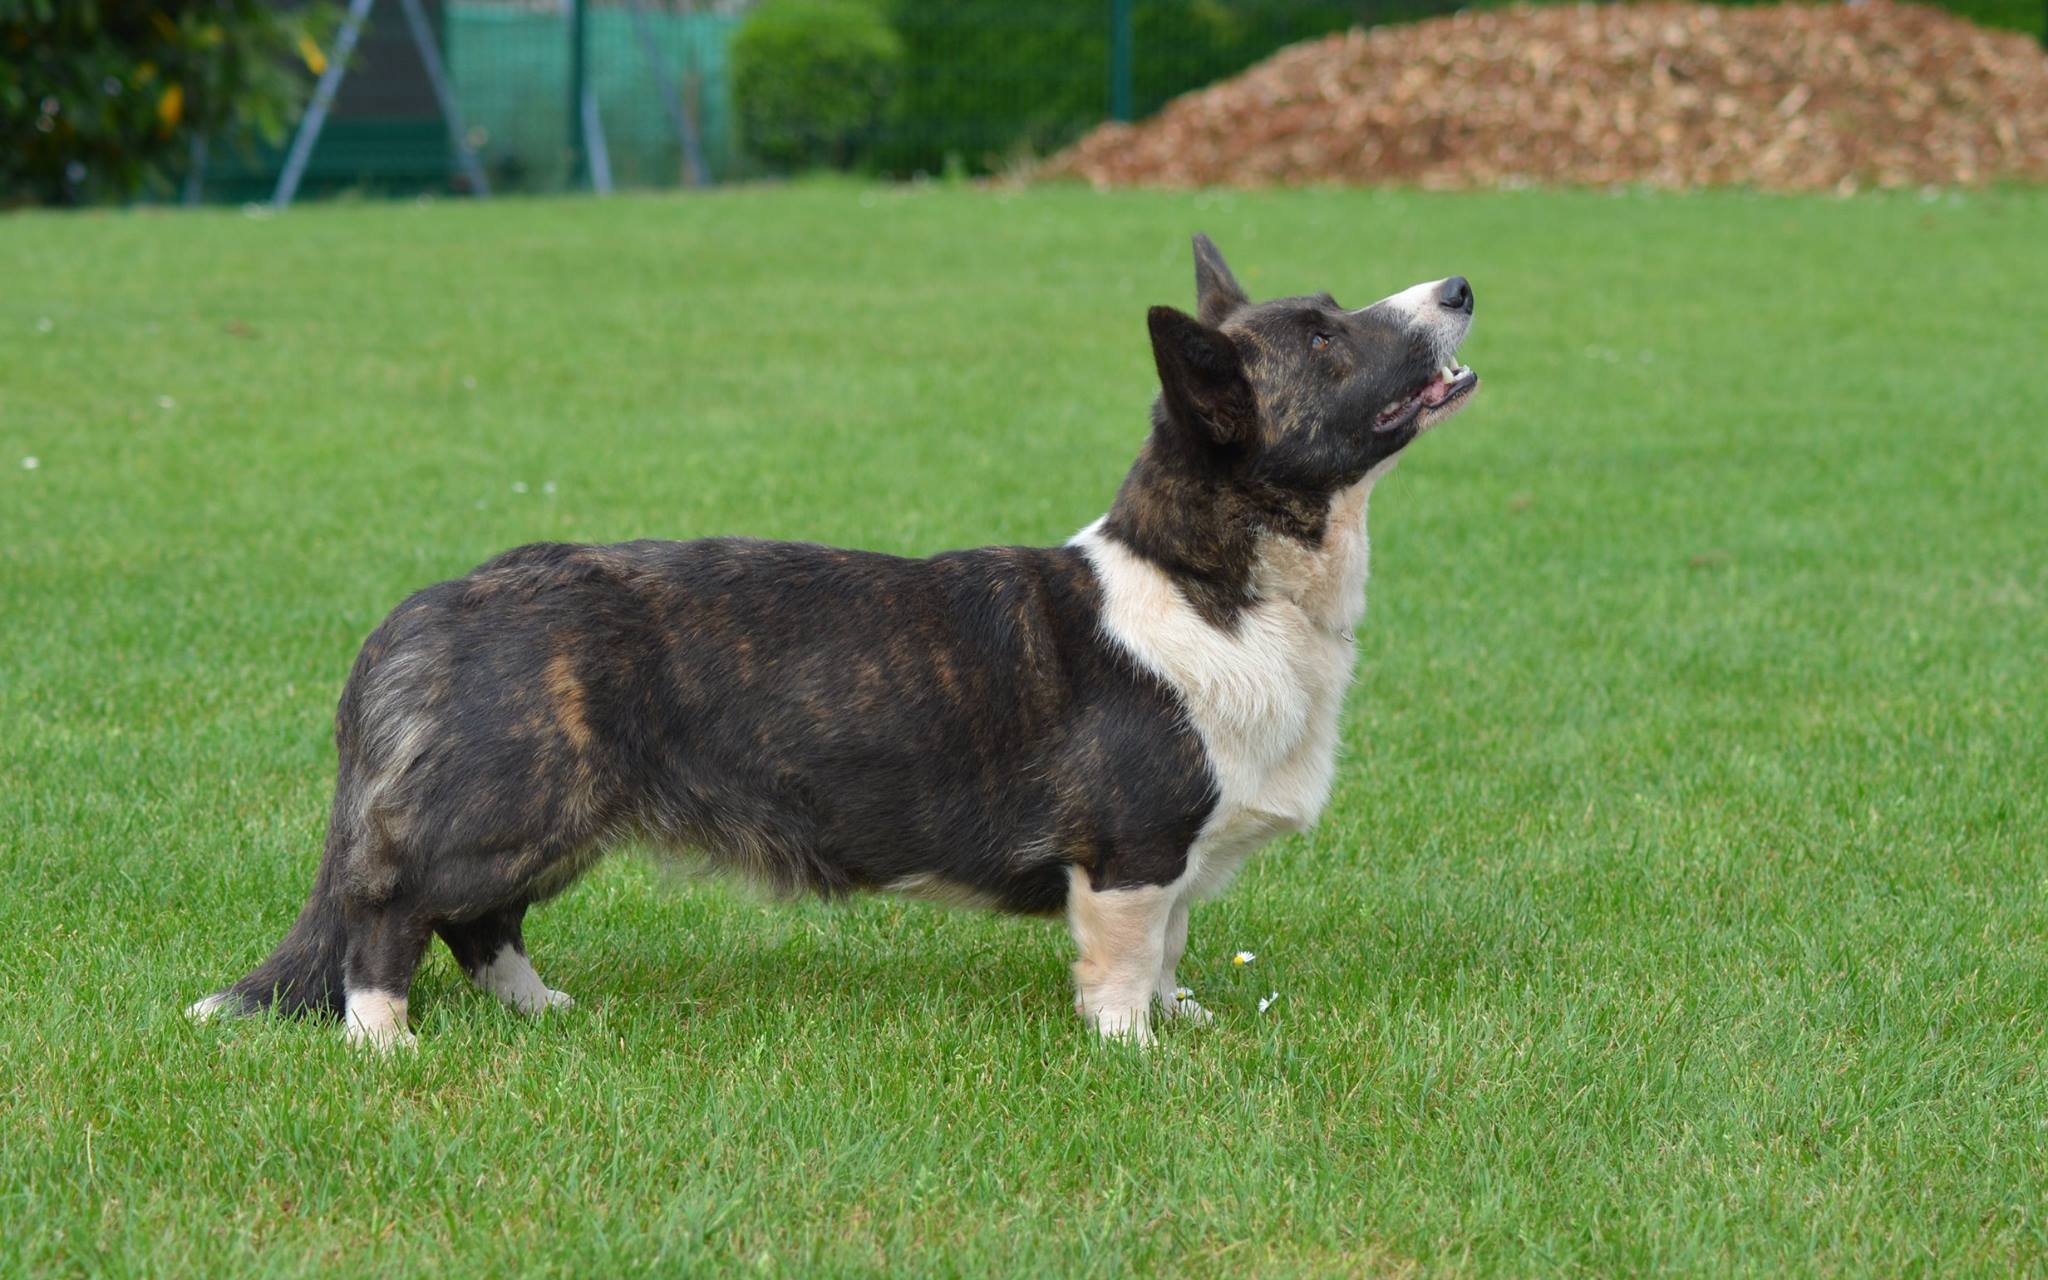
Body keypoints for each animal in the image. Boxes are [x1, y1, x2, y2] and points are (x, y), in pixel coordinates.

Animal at [188, 234, 1474, 1044]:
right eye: (1322, 338)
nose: (1459, 285)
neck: (1214, 583)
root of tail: (427, 606)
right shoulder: (1130, 850)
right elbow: (1120, 961)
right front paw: (1133, 1052)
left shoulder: (1176, 867)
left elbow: (1168, 951)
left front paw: (1182, 1020)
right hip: (509, 807)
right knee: (392, 903)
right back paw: (382, 1039)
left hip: (555, 821)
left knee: (477, 923)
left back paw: (545, 1012)